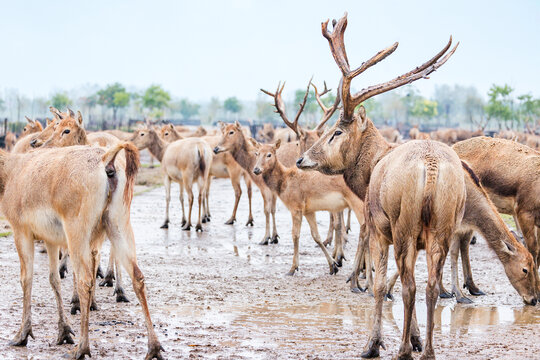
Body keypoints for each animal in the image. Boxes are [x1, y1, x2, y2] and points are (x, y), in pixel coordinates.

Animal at [0, 142, 165, 358]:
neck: (9, 173)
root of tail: (107, 160)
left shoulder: (21, 230)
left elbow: (26, 279)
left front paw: (22, 335)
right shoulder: (50, 238)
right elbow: (54, 279)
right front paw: (63, 333)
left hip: (76, 229)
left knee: (85, 279)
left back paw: (81, 348)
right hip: (119, 223)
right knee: (137, 275)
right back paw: (154, 348)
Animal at [252, 139, 362, 274]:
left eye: (269, 154)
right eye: (256, 153)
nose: (256, 170)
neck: (283, 183)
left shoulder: (295, 207)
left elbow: (295, 235)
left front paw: (293, 268)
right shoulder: (308, 211)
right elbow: (316, 236)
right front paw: (333, 265)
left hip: (357, 202)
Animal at [296, 12, 464, 358]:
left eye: (336, 132)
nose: (301, 159)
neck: (371, 169)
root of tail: (431, 168)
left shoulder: (376, 227)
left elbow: (378, 283)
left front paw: (373, 344)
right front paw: (415, 338)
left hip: (403, 224)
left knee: (411, 285)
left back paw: (401, 350)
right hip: (444, 225)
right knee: (430, 286)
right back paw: (428, 350)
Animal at [454, 136, 540, 300]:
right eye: (525, 270)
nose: (532, 299)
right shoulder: (524, 214)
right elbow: (533, 251)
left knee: (463, 244)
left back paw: (472, 287)